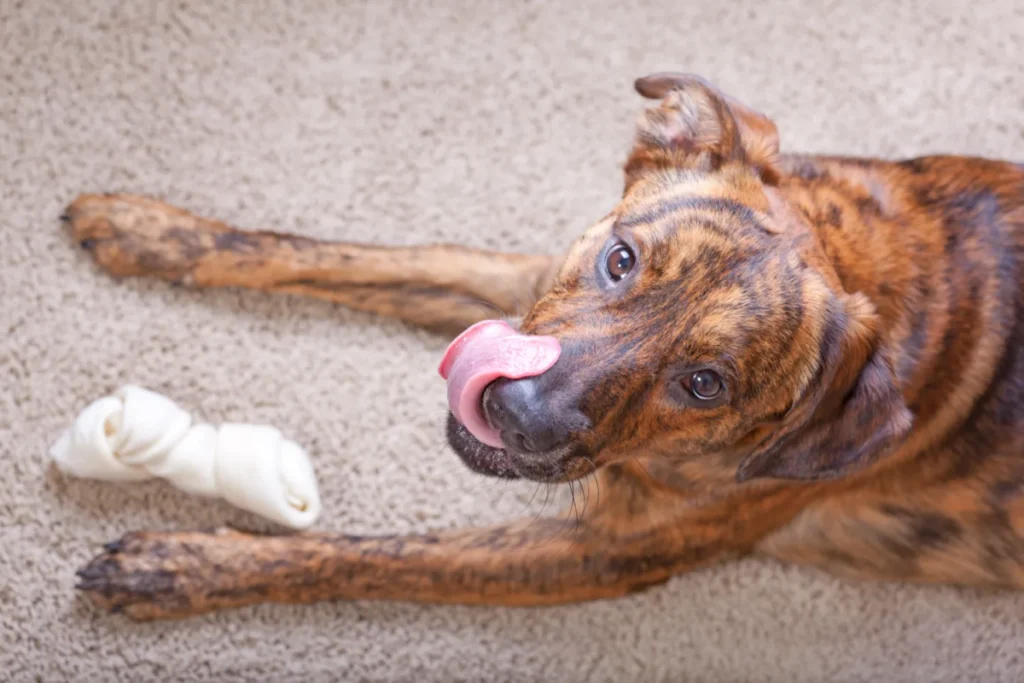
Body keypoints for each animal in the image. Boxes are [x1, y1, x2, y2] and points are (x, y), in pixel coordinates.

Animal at [68, 73, 1019, 618]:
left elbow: (391, 557)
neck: (859, 254)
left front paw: (183, 567)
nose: (517, 411)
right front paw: (153, 229)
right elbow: (378, 255)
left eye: (706, 382)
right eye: (620, 259)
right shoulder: (534, 283)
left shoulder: (599, 552)